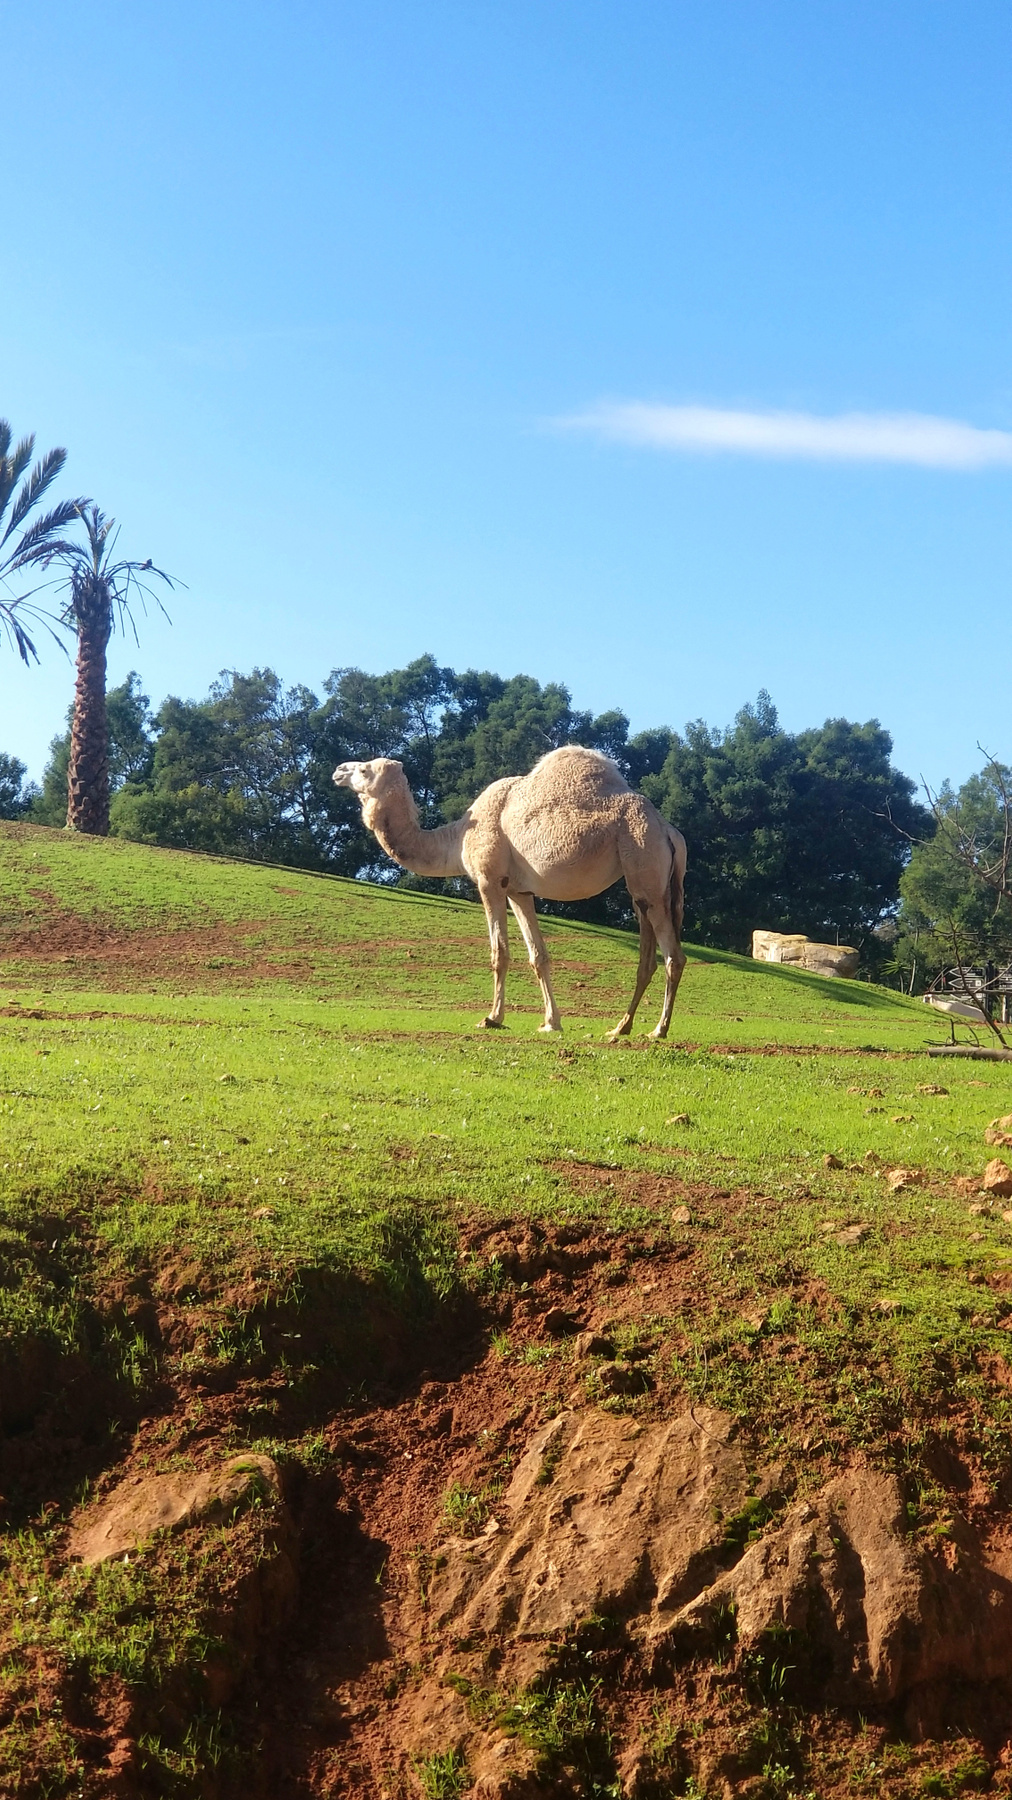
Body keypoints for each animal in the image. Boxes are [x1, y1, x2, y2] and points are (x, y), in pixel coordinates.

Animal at [332, 746, 687, 1038]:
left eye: (364, 769)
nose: (338, 770)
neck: (459, 836)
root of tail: (669, 831)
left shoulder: (490, 880)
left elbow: (499, 952)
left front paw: (492, 1018)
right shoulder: (519, 891)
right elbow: (538, 956)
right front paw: (550, 1023)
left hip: (644, 857)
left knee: (674, 955)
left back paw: (658, 1030)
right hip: (643, 880)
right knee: (647, 955)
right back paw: (620, 1027)